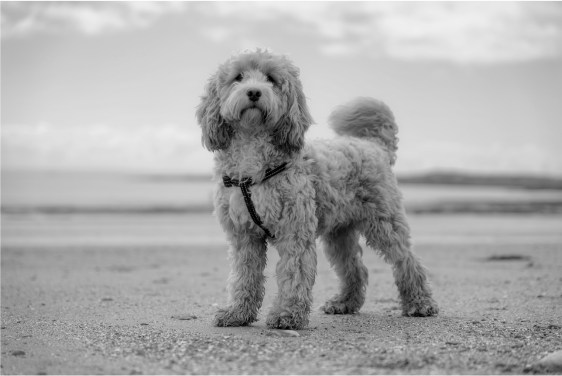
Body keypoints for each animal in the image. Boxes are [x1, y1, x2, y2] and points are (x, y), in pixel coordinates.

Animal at [197, 47, 438, 328]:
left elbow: (294, 273)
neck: (253, 148)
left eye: (271, 79)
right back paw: (344, 303)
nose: (254, 92)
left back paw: (420, 303)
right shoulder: (243, 236)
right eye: (238, 77)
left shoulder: (294, 230)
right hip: (338, 233)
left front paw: (286, 314)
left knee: (407, 261)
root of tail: (374, 145)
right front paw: (237, 312)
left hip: (385, 223)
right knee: (354, 268)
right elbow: (245, 276)